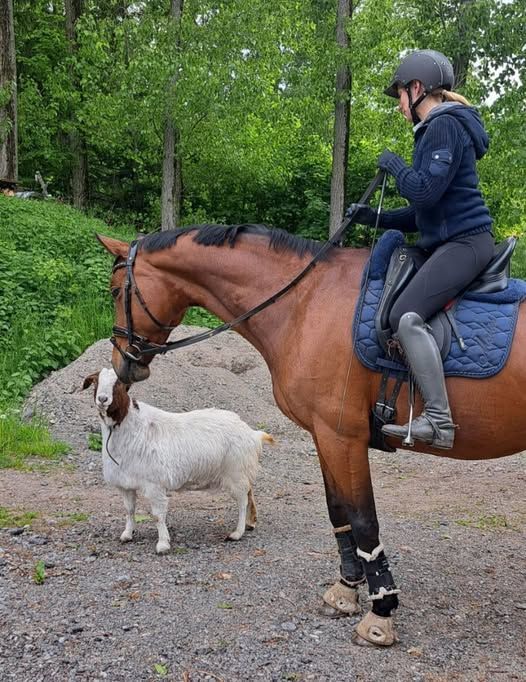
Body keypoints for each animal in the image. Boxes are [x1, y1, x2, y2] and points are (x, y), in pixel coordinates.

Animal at [83, 368, 273, 554]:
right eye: (96, 382)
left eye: (119, 384)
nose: (102, 399)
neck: (132, 428)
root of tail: (253, 433)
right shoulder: (125, 485)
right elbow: (129, 510)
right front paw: (127, 534)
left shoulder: (155, 485)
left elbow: (158, 515)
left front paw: (163, 544)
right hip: (242, 472)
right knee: (249, 494)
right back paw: (250, 523)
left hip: (236, 472)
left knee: (242, 501)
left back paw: (237, 533)